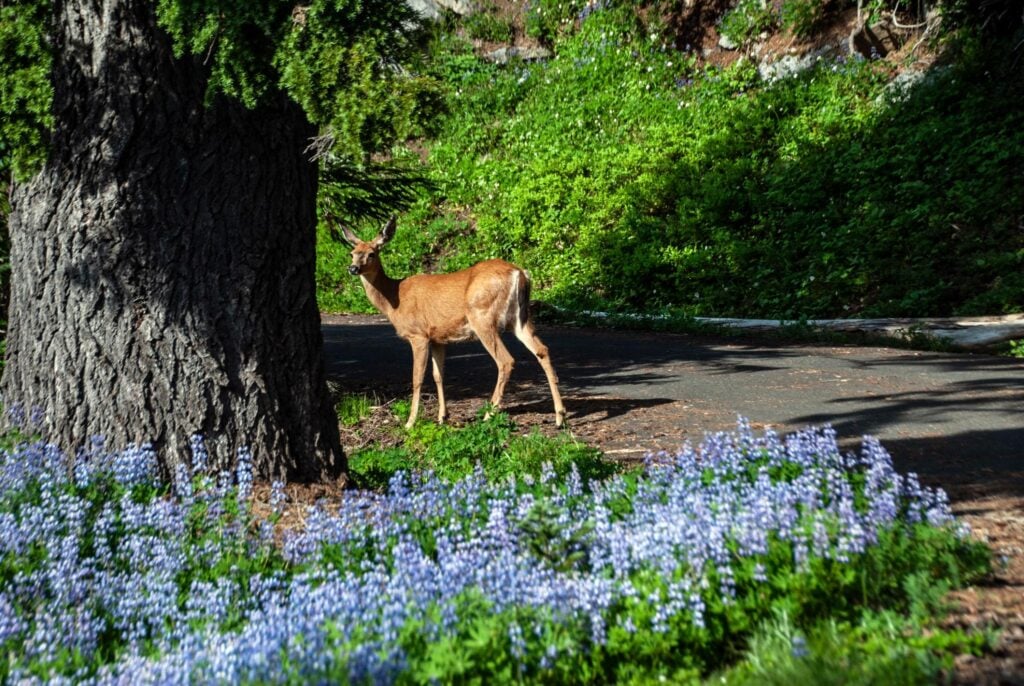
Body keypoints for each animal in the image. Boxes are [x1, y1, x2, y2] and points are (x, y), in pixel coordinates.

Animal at [339, 216, 566, 430]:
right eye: (352, 252)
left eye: (372, 254)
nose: (353, 268)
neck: (394, 299)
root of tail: (519, 273)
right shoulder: (438, 338)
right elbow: (438, 375)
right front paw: (442, 417)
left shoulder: (418, 335)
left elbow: (417, 377)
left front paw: (410, 422)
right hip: (520, 318)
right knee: (542, 350)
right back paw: (559, 416)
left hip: (482, 317)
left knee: (506, 360)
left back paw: (488, 414)